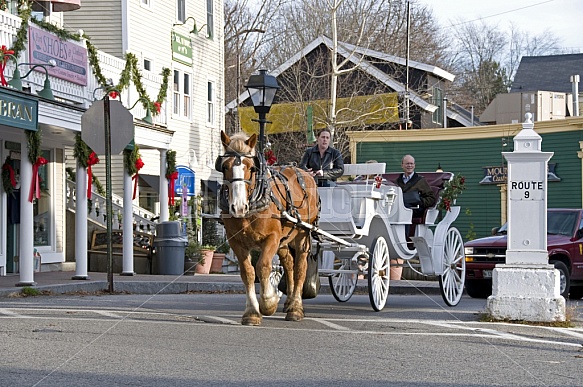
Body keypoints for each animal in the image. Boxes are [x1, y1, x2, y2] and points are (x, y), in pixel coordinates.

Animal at [218, 132, 320, 326]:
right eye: (225, 166)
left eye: (251, 168)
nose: (238, 207)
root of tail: (304, 172)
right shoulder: (236, 242)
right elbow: (248, 272)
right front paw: (251, 312)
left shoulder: (271, 238)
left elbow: (263, 266)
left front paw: (268, 301)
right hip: (284, 241)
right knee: (289, 264)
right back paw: (289, 302)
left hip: (302, 235)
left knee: (300, 268)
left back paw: (296, 308)